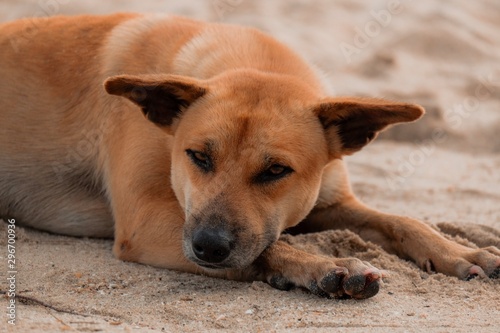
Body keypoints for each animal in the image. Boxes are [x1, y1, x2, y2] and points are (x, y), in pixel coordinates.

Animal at [0, 13, 500, 298]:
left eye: (277, 170)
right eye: (198, 156)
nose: (208, 247)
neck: (253, 62)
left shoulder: (333, 205)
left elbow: (404, 222)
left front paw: (460, 251)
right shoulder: (145, 222)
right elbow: (270, 247)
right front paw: (325, 265)